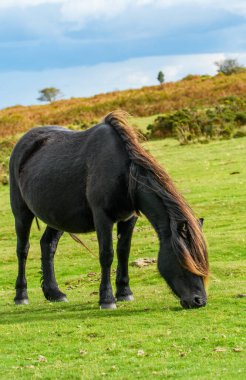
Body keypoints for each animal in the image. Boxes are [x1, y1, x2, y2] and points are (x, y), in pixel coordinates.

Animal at [10, 110, 209, 308]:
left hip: (58, 216)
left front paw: (124, 292)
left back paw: (54, 293)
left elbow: (123, 252)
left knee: (48, 245)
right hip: (21, 214)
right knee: (22, 250)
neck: (125, 175)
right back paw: (21, 295)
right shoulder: (102, 218)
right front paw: (107, 298)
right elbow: (107, 255)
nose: (199, 301)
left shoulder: (128, 219)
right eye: (184, 260)